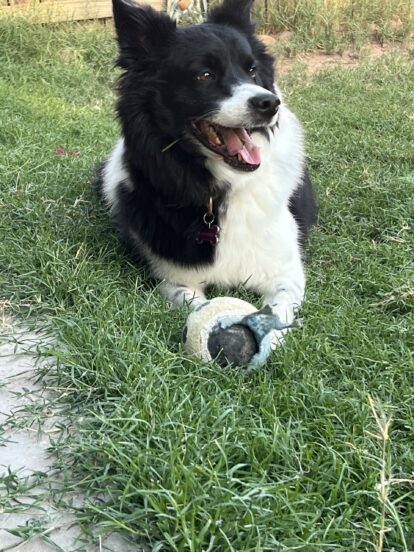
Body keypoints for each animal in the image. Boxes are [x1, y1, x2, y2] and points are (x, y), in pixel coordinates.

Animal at [95, 0, 317, 342]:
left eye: (251, 69)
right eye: (204, 75)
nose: (269, 103)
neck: (221, 187)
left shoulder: (286, 274)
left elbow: (277, 313)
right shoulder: (175, 280)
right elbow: (200, 307)